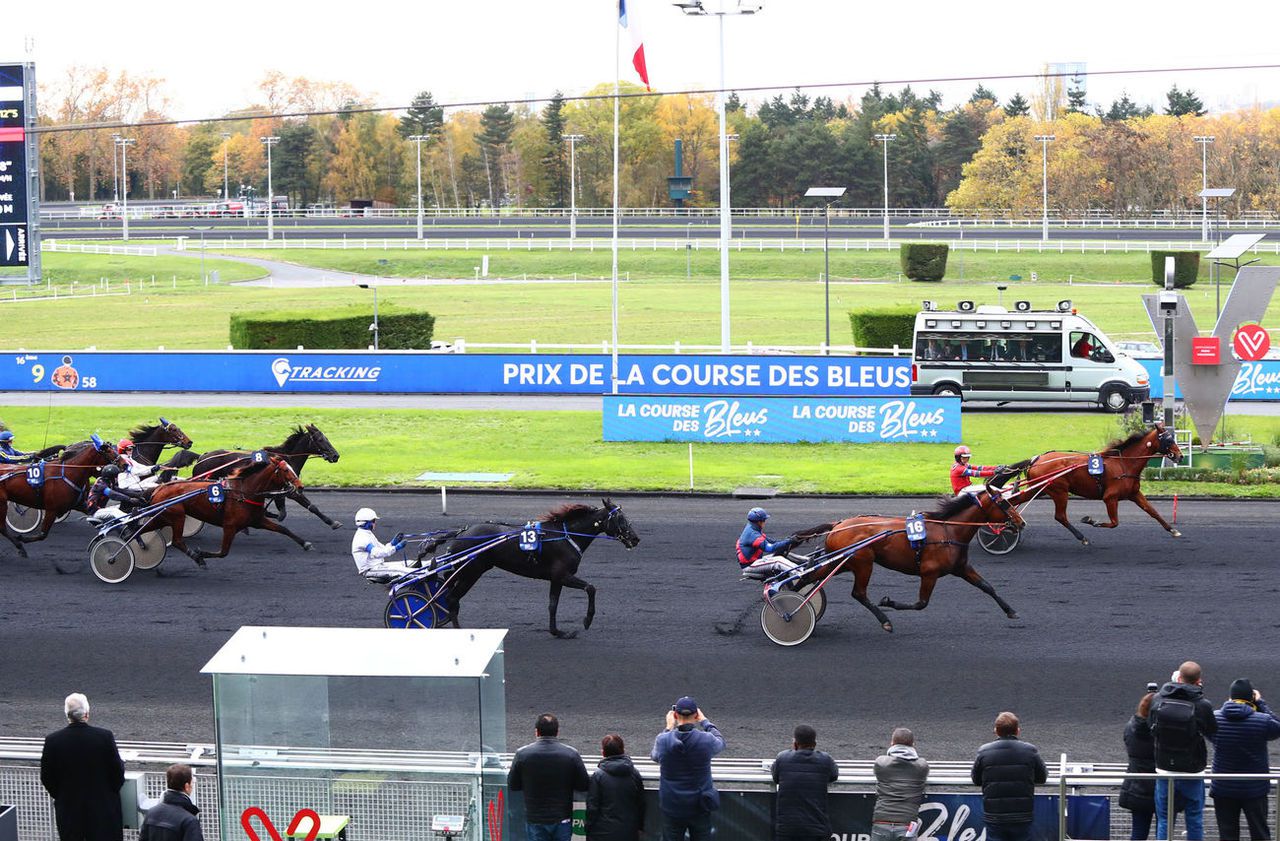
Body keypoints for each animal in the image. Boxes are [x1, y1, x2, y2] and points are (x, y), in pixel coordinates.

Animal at [144, 455, 309, 568]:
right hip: (177, 516)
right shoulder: (230, 526)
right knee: (177, 541)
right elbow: (224, 552)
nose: (300, 487)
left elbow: (283, 529)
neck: (243, 492)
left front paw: (306, 543)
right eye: (286, 470)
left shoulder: (257, 520)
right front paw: (201, 553)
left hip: (161, 517)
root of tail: (159, 488)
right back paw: (196, 558)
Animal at [186, 422, 343, 527]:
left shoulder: (285, 490)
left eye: (326, 438)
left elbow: (296, 509)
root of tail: (201, 457)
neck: (286, 458)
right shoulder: (289, 490)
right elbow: (297, 509)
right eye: (321, 439)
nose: (335, 455)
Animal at [419, 499, 640, 637]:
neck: (566, 536)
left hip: (464, 571)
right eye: (620, 518)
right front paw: (587, 620)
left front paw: (558, 632)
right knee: (451, 598)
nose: (635, 538)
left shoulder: (556, 578)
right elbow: (591, 588)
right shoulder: (563, 575)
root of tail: (461, 532)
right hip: (471, 572)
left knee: (448, 589)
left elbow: (553, 605)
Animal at [793, 488, 1024, 632]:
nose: (1021, 522)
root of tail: (837, 525)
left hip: (840, 562)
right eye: (1003, 503)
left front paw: (1011, 611)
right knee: (858, 593)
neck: (949, 531)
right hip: (862, 562)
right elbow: (921, 603)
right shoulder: (929, 572)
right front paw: (889, 602)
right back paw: (885, 621)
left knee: (807, 578)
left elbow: (987, 586)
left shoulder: (961, 567)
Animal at [1013, 422, 1182, 547]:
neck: (1124, 464)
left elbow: (1153, 512)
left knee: (1016, 500)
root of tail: (1036, 459)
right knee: (1060, 516)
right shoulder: (1110, 497)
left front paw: (1173, 530)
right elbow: (1114, 523)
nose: (1180, 456)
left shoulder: (1134, 494)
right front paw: (1090, 520)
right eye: (1169, 440)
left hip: (1040, 488)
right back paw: (1082, 537)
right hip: (1059, 491)